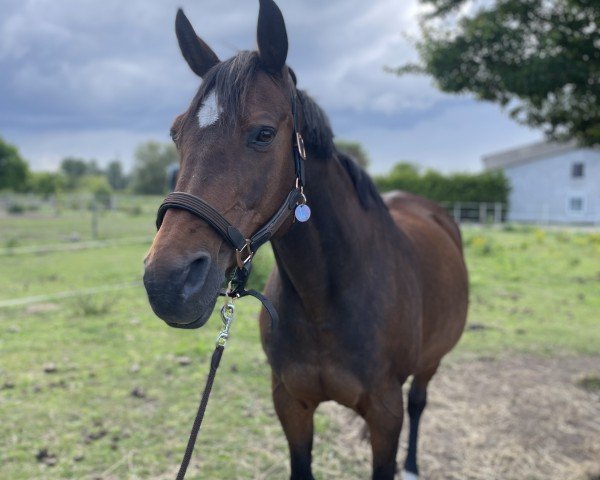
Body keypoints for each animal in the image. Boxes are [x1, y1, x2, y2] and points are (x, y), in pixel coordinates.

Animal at [142, 1, 468, 478]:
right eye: (176, 133)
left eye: (263, 133)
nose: (167, 281)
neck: (325, 300)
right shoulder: (290, 403)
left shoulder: (385, 414)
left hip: (431, 362)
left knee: (419, 402)